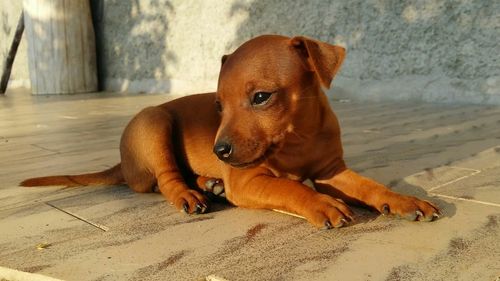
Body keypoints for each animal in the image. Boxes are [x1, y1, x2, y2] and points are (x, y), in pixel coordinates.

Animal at [21, 35, 440, 228]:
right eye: (219, 105)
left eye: (261, 97)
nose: (219, 152)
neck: (298, 139)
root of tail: (121, 163)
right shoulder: (248, 180)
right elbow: (291, 189)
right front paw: (321, 205)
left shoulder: (331, 172)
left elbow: (370, 186)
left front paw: (404, 200)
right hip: (155, 122)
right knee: (163, 179)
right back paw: (191, 194)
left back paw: (209, 183)